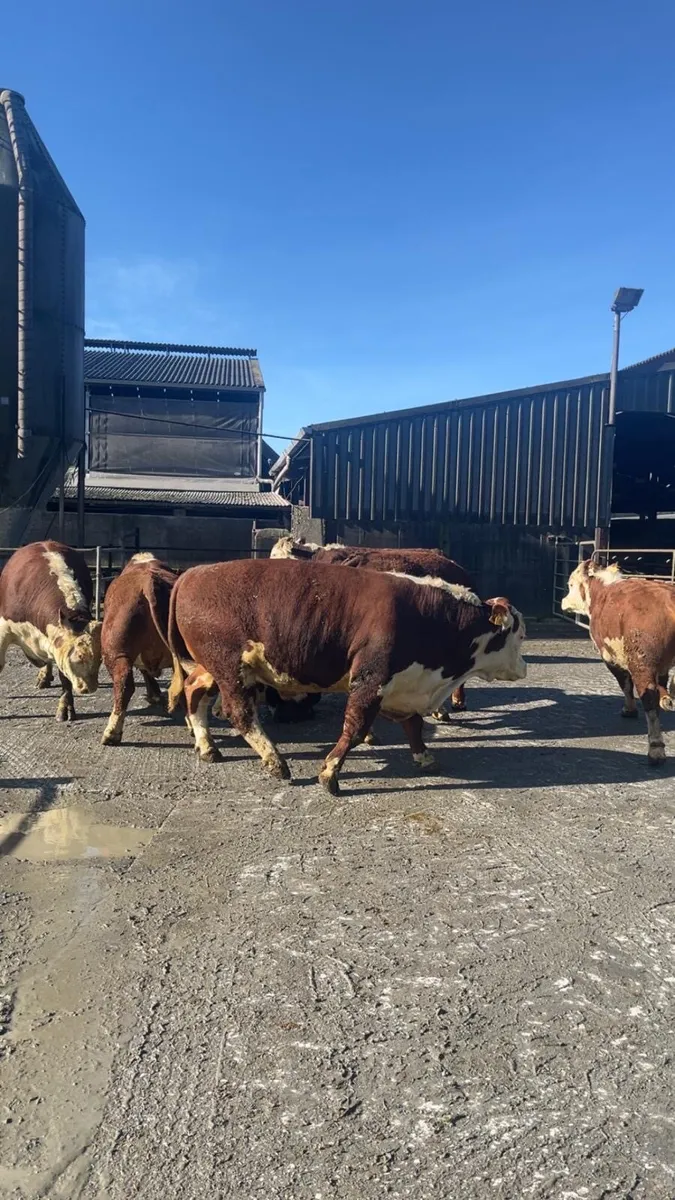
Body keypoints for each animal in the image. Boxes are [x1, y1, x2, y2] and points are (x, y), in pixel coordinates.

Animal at [0, 541, 102, 721]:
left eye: (100, 659)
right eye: (79, 656)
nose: (89, 688)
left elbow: (64, 677)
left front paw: (65, 707)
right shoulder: (4, 628)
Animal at [166, 559, 526, 795]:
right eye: (519, 635)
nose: (523, 668)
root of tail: (192, 574)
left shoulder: (399, 686)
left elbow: (412, 724)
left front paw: (424, 757)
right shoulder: (371, 680)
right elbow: (355, 728)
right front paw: (329, 773)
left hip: (214, 668)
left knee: (194, 691)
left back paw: (207, 746)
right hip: (231, 668)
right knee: (239, 712)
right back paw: (274, 760)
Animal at [561, 559, 675, 766]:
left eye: (571, 584)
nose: (563, 601)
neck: (602, 592)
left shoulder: (610, 656)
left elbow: (625, 684)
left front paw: (629, 709)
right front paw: (666, 699)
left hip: (641, 664)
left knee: (648, 699)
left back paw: (656, 749)